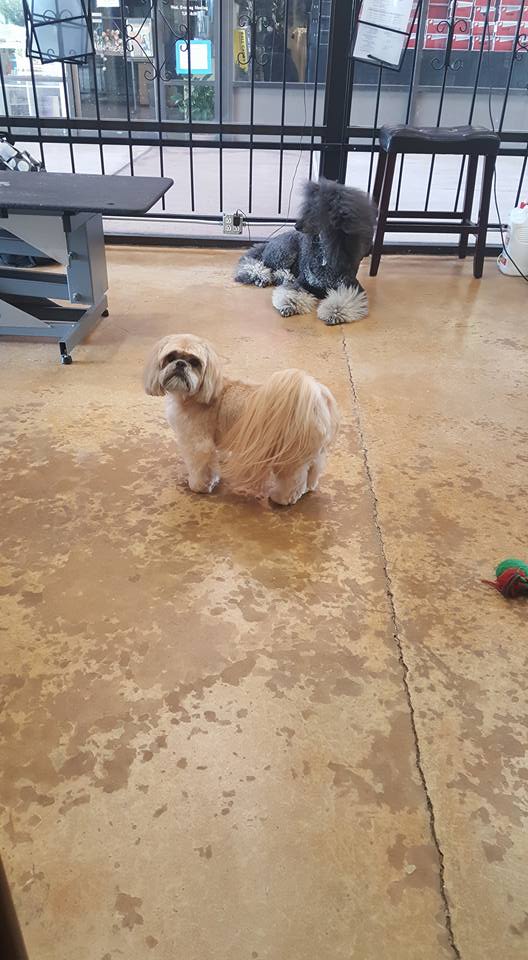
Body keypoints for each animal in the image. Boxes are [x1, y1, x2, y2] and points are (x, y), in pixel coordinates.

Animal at [143, 334, 339, 505]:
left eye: (194, 362)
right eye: (170, 357)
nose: (180, 364)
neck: (195, 395)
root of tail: (315, 396)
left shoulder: (198, 444)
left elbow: (201, 468)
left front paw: (199, 486)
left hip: (290, 456)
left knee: (293, 480)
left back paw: (282, 498)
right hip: (313, 453)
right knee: (313, 470)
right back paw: (309, 487)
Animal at [234, 178, 377, 325]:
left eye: (319, 210)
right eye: (308, 207)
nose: (297, 225)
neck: (325, 253)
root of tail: (268, 243)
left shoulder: (352, 286)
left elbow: (345, 298)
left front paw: (334, 314)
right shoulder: (302, 282)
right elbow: (292, 292)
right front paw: (288, 306)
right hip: (285, 252)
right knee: (261, 265)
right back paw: (264, 278)